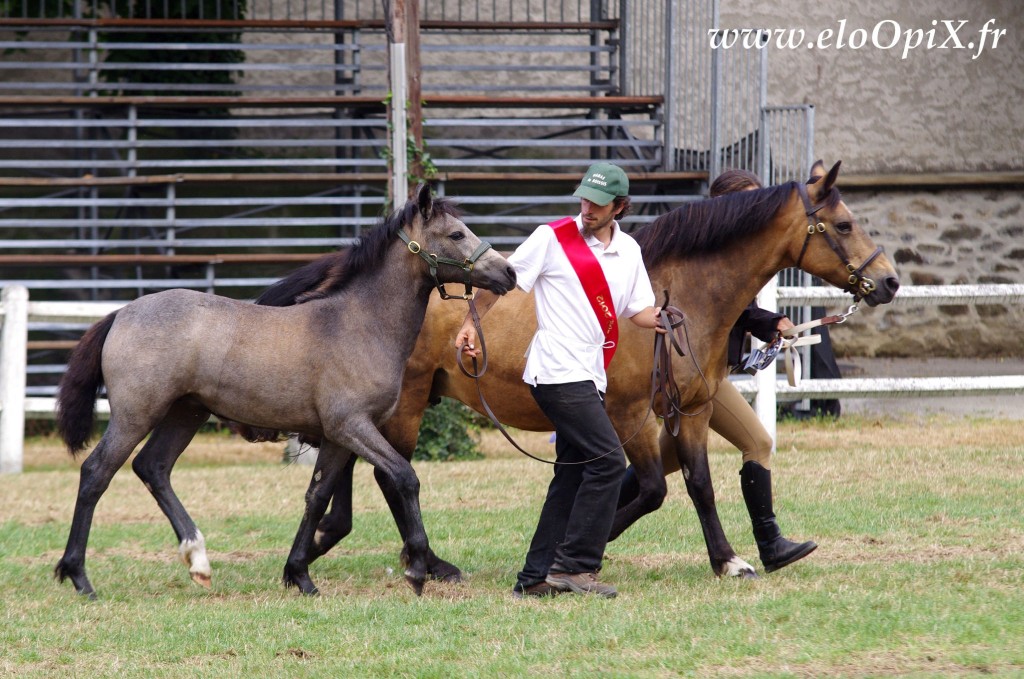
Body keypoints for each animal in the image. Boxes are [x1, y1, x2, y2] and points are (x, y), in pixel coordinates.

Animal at [54, 184, 520, 593]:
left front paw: (299, 575)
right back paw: (77, 575)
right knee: (96, 473)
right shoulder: (352, 426)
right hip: (136, 414)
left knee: (153, 468)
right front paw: (418, 570)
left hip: (185, 412)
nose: (509, 272)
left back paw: (198, 562)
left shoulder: (337, 436)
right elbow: (404, 478)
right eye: (456, 234)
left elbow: (317, 496)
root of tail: (121, 314)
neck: (358, 323)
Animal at [251, 160, 901, 589]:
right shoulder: (628, 415)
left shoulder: (689, 412)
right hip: (406, 404)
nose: (889, 280)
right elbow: (655, 488)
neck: (676, 299)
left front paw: (730, 558)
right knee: (389, 475)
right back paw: (421, 562)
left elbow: (699, 484)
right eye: (843, 225)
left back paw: (329, 541)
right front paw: (588, 546)